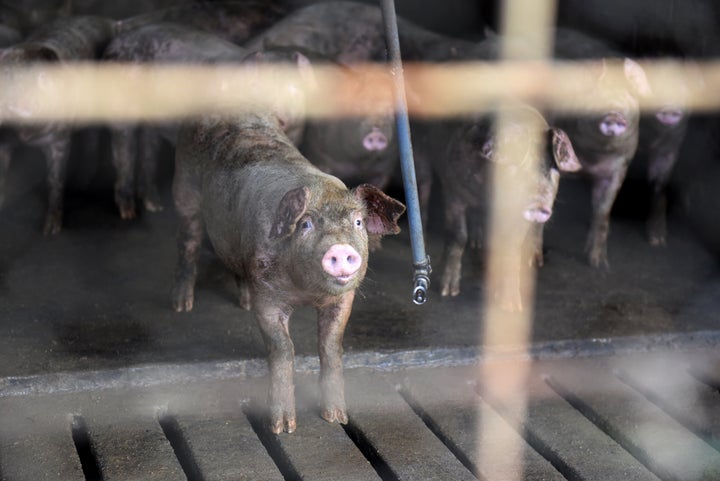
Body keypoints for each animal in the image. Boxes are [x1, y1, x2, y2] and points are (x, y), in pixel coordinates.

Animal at [0, 17, 116, 235]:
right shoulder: (4, 139)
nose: (26, 101)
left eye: (43, 77)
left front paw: (50, 230)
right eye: (8, 74)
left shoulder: (60, 139)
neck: (27, 134)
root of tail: (111, 23)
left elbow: (55, 179)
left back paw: (83, 183)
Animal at [170, 109, 404, 436]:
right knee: (188, 245)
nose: (340, 248)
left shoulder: (344, 299)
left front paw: (337, 418)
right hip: (184, 193)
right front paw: (283, 428)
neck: (307, 294)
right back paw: (182, 306)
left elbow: (331, 346)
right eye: (305, 224)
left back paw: (243, 303)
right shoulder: (268, 297)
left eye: (358, 222)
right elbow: (283, 349)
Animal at [430, 104, 584, 308]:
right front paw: (448, 292)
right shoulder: (452, 189)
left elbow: (512, 246)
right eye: (515, 165)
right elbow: (457, 236)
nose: (539, 204)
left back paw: (534, 262)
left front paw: (511, 306)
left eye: (551, 166)